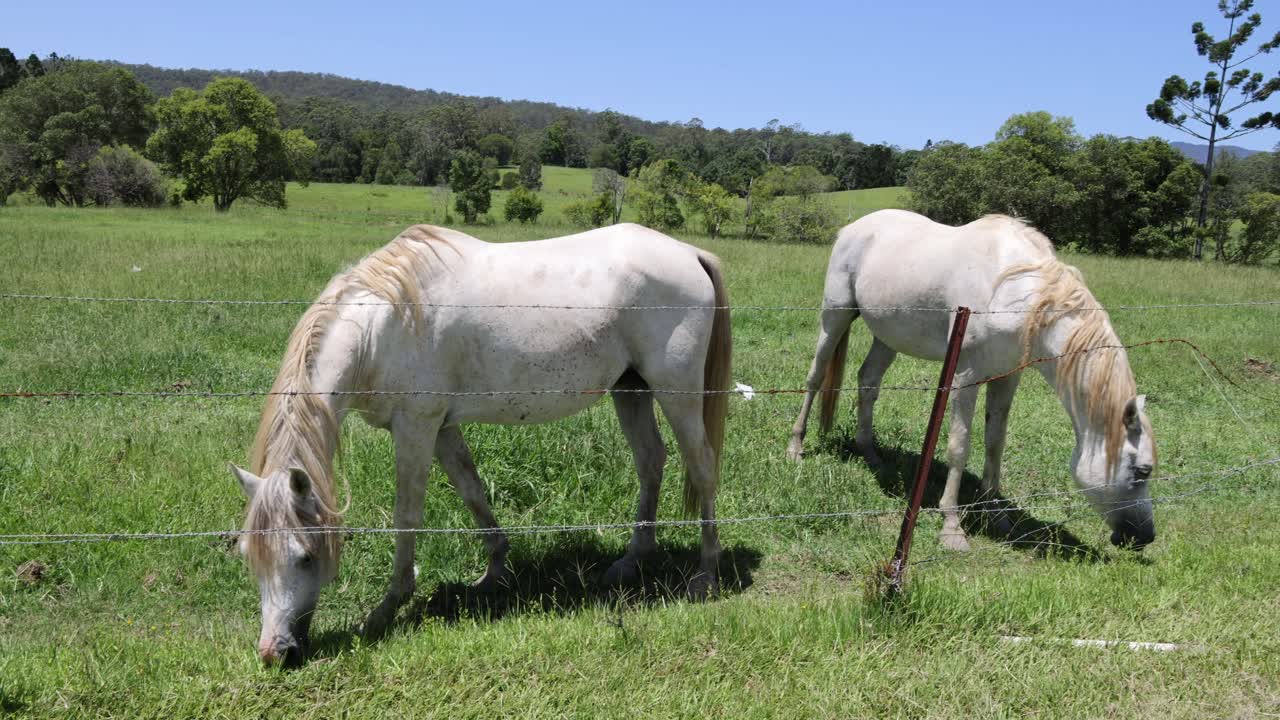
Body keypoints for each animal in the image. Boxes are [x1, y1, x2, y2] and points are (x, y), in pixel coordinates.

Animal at [229, 223, 732, 666]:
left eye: (305, 557)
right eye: (249, 556)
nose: (275, 653)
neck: (384, 324)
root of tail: (690, 254)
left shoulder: (416, 426)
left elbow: (407, 516)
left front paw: (388, 608)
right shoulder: (441, 427)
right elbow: (472, 491)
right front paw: (493, 572)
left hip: (677, 392)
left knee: (702, 466)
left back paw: (706, 574)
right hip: (630, 390)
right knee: (651, 461)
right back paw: (631, 561)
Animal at [786, 210, 1157, 552]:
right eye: (1142, 471)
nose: (1145, 537)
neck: (1012, 291)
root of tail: (853, 227)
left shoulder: (1006, 378)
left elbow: (995, 444)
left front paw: (997, 515)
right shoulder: (965, 378)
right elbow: (959, 446)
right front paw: (952, 527)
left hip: (887, 336)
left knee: (868, 381)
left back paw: (870, 454)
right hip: (835, 316)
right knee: (815, 377)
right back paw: (796, 448)